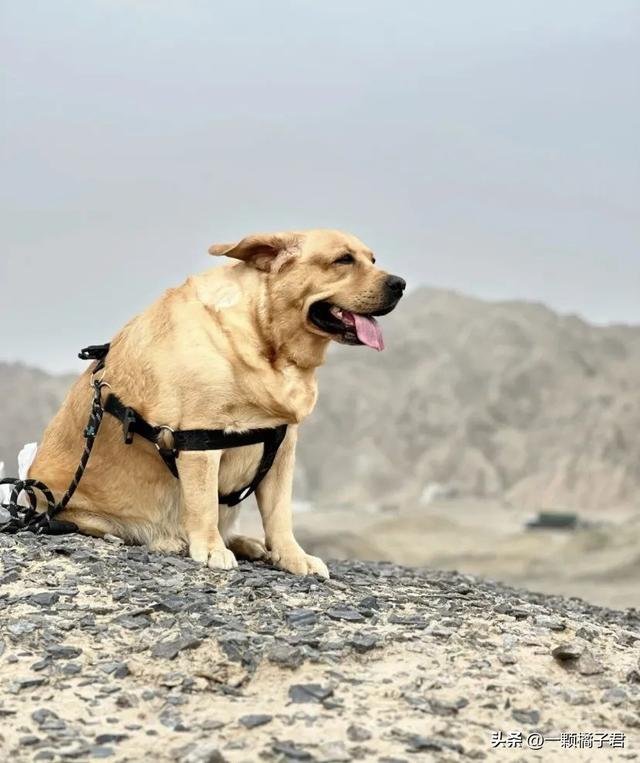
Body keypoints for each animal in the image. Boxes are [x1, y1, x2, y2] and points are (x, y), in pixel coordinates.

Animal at [28, 230, 404, 576]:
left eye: (372, 259)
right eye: (343, 260)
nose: (400, 284)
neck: (263, 341)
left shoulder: (283, 447)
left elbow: (279, 515)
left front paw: (292, 556)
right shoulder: (200, 440)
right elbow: (204, 504)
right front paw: (210, 548)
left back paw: (245, 543)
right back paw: (169, 539)